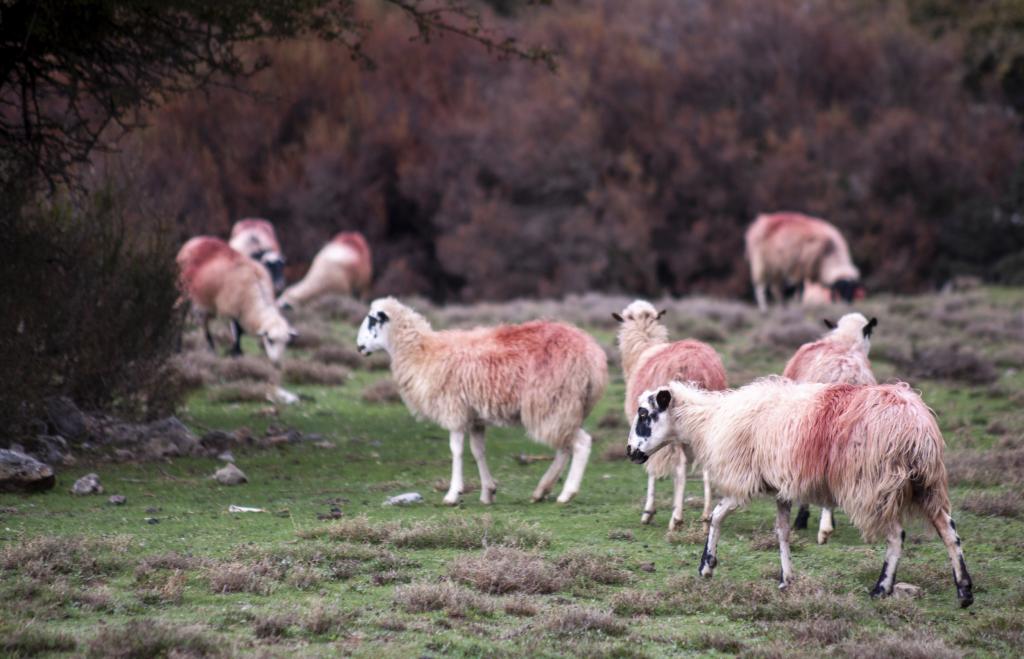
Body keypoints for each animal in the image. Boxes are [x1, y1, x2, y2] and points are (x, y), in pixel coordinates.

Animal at [358, 298, 606, 505]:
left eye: (372, 320)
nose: (359, 347)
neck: (421, 352)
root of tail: (592, 356)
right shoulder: (475, 417)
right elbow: (478, 452)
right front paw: (488, 492)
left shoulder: (454, 410)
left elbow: (456, 451)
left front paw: (452, 494)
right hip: (565, 406)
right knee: (565, 447)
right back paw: (542, 490)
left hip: (552, 402)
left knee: (581, 443)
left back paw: (566, 493)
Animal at [610, 298, 724, 532]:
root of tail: (697, 367)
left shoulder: (651, 433)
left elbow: (652, 468)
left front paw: (648, 512)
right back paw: (706, 517)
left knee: (680, 466)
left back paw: (676, 518)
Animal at [626, 378, 970, 609]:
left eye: (643, 414)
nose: (630, 451)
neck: (708, 423)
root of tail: (914, 424)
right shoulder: (781, 489)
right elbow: (782, 533)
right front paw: (786, 579)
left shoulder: (744, 481)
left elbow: (716, 517)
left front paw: (706, 565)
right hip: (927, 485)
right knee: (949, 532)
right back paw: (965, 592)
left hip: (872, 486)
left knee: (897, 536)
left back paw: (881, 589)